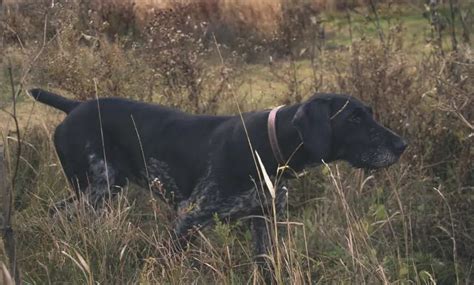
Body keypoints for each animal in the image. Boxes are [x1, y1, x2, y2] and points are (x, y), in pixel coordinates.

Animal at [28, 87, 408, 254]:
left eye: (369, 112)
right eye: (354, 118)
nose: (403, 144)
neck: (268, 146)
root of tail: (75, 106)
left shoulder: (263, 223)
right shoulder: (188, 219)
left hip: (101, 188)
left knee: (57, 211)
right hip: (96, 188)